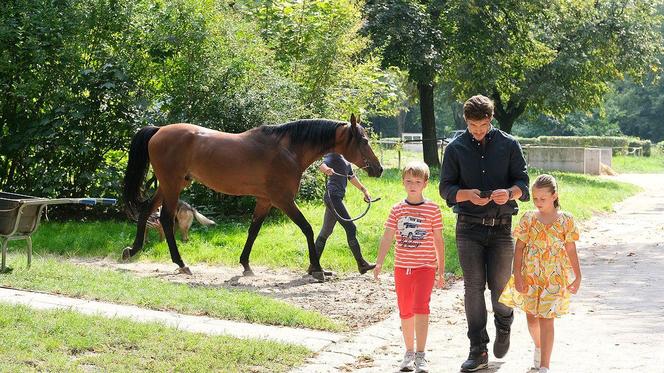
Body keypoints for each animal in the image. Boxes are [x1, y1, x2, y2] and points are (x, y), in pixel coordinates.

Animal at [120, 113, 384, 280]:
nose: (378, 168)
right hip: (172, 185)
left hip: (169, 185)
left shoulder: (265, 200)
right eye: (363, 140)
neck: (288, 150)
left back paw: (133, 250)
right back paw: (181, 263)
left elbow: (253, 231)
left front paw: (246, 264)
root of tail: (159, 130)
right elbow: (307, 228)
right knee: (165, 219)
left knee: (147, 211)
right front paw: (317, 269)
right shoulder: (283, 200)